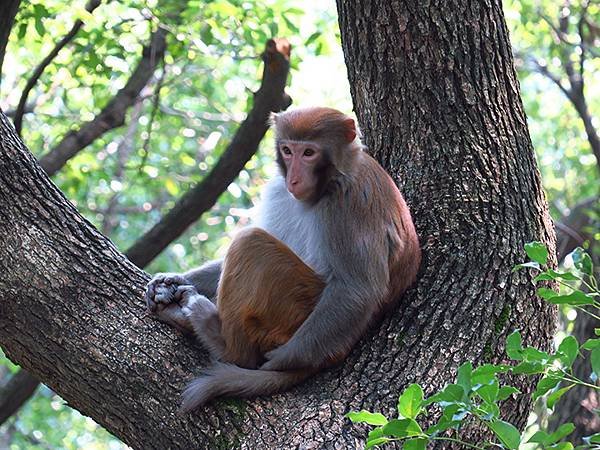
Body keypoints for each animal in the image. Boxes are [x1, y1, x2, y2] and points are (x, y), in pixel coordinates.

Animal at [144, 106, 422, 412]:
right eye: (288, 151)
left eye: (309, 153)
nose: (294, 179)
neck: (328, 185)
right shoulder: (279, 190)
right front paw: (171, 281)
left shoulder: (351, 200)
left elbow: (357, 288)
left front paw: (281, 360)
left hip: (295, 314)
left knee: (252, 244)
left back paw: (224, 343)